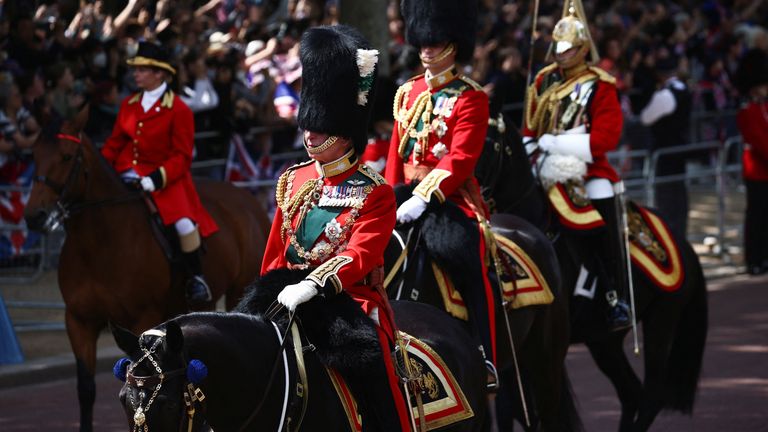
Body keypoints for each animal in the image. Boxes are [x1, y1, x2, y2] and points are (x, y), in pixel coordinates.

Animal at [24, 108, 272, 432]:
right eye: (33, 153)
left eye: (66, 156)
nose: (34, 216)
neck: (98, 245)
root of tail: (245, 196)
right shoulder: (78, 321)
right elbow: (86, 389)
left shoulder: (142, 315)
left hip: (236, 290)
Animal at [476, 118, 712, 432]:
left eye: (490, 144)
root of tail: (683, 243)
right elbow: (511, 408)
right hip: (603, 342)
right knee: (631, 393)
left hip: (661, 322)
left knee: (651, 396)